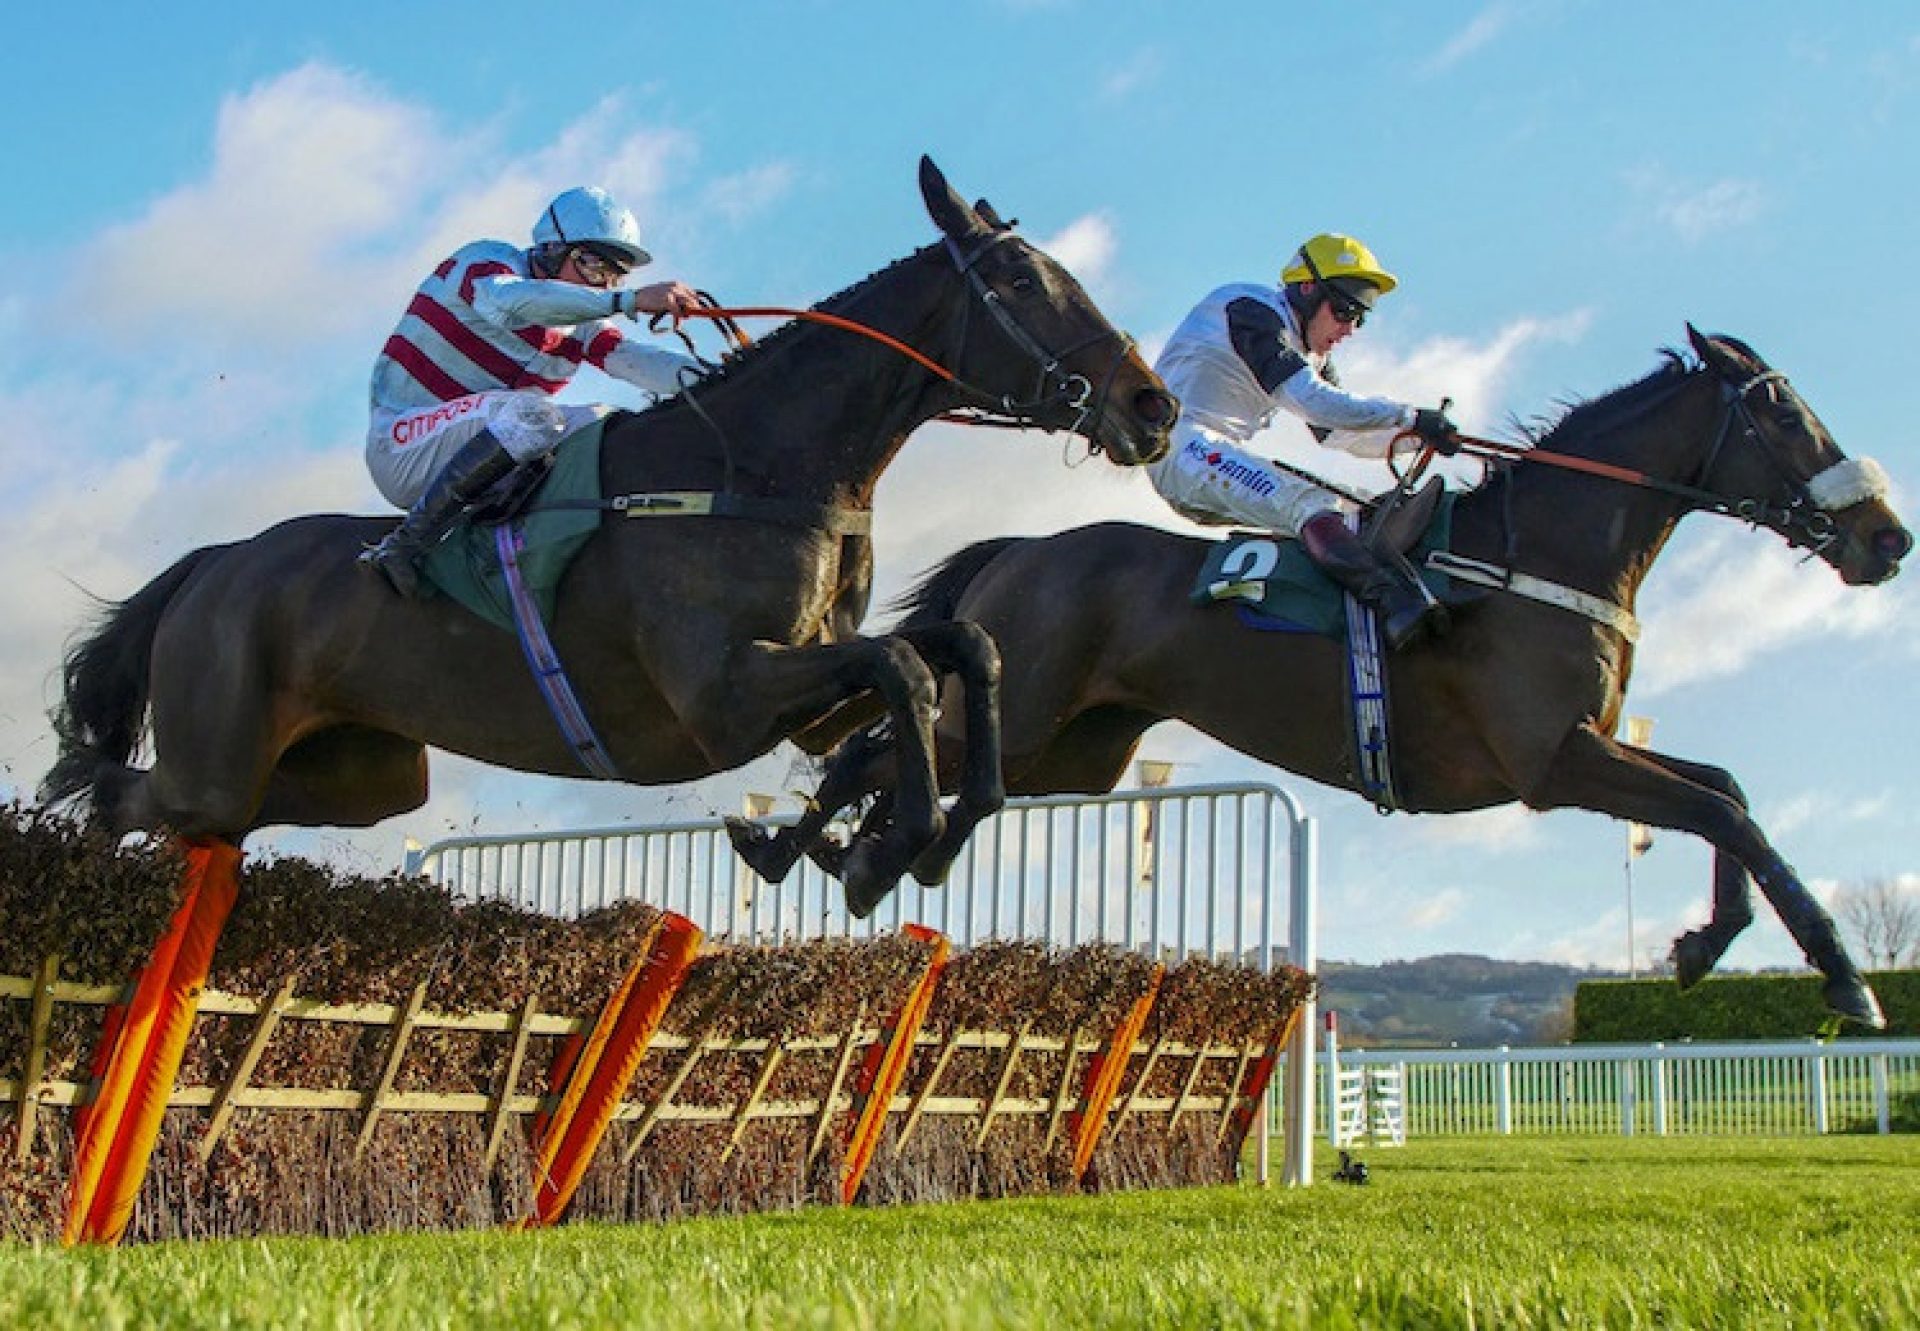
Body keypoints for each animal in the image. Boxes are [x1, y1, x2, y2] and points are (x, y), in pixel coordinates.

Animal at [45, 158, 1175, 902]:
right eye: (1023, 281)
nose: (1152, 404)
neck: (757, 468)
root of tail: (213, 565)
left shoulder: (804, 689)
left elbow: (958, 651)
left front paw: (886, 840)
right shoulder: (724, 697)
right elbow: (901, 666)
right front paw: (889, 843)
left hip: (358, 773)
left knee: (198, 813)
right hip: (217, 750)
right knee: (120, 792)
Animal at [748, 326, 1904, 1021]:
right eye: (1786, 414)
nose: (1887, 538)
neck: (1538, 555)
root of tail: (1023, 547)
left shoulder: (1593, 746)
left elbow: (1725, 792)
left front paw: (1706, 941)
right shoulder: (1550, 761)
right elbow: (1727, 813)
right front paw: (1846, 978)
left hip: (1077, 751)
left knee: (903, 760)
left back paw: (844, 851)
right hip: (1030, 712)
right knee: (876, 751)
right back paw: (825, 847)